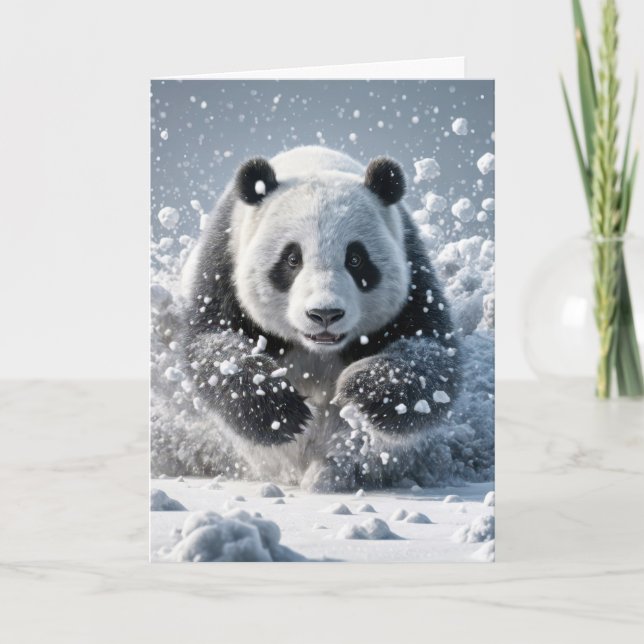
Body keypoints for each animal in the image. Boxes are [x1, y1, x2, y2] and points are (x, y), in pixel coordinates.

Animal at [182, 146, 460, 491]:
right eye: (291, 259)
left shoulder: (413, 271)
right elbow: (214, 347)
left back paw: (329, 474)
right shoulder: (223, 266)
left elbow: (432, 360)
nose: (324, 314)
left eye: (356, 259)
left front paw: (361, 391)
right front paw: (280, 410)